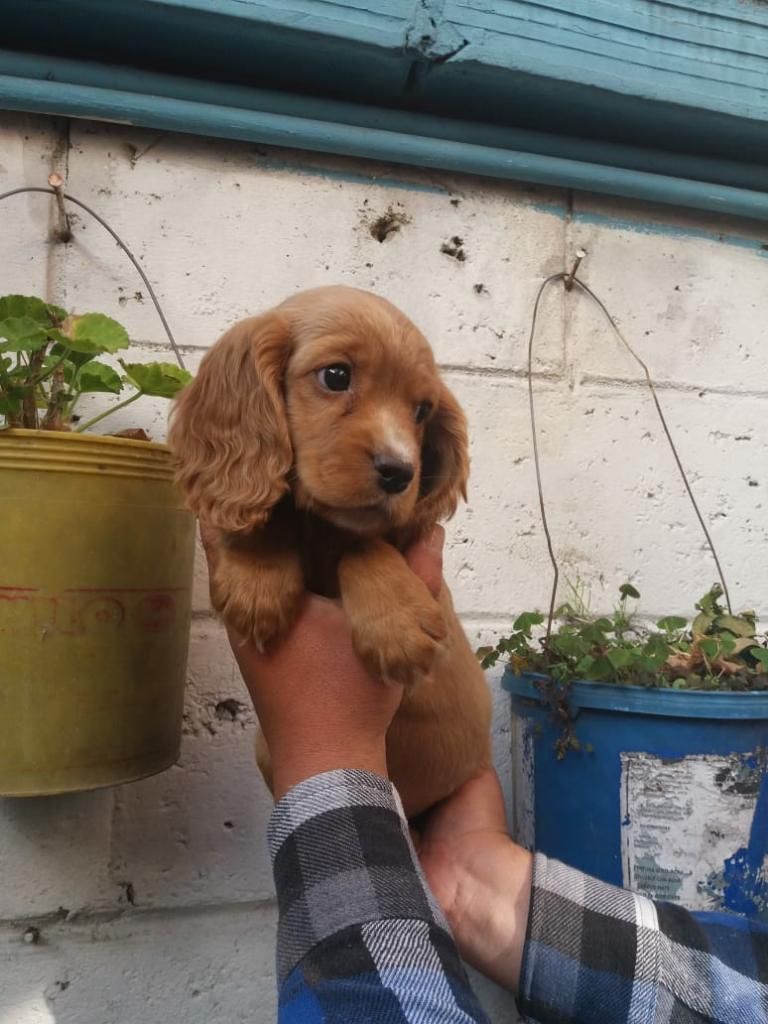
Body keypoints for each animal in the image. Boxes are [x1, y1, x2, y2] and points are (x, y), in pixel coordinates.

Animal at [171, 284, 489, 811]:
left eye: (422, 411)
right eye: (336, 376)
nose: (400, 472)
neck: (319, 527)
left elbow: (363, 544)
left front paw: (397, 623)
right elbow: (270, 517)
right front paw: (258, 580)